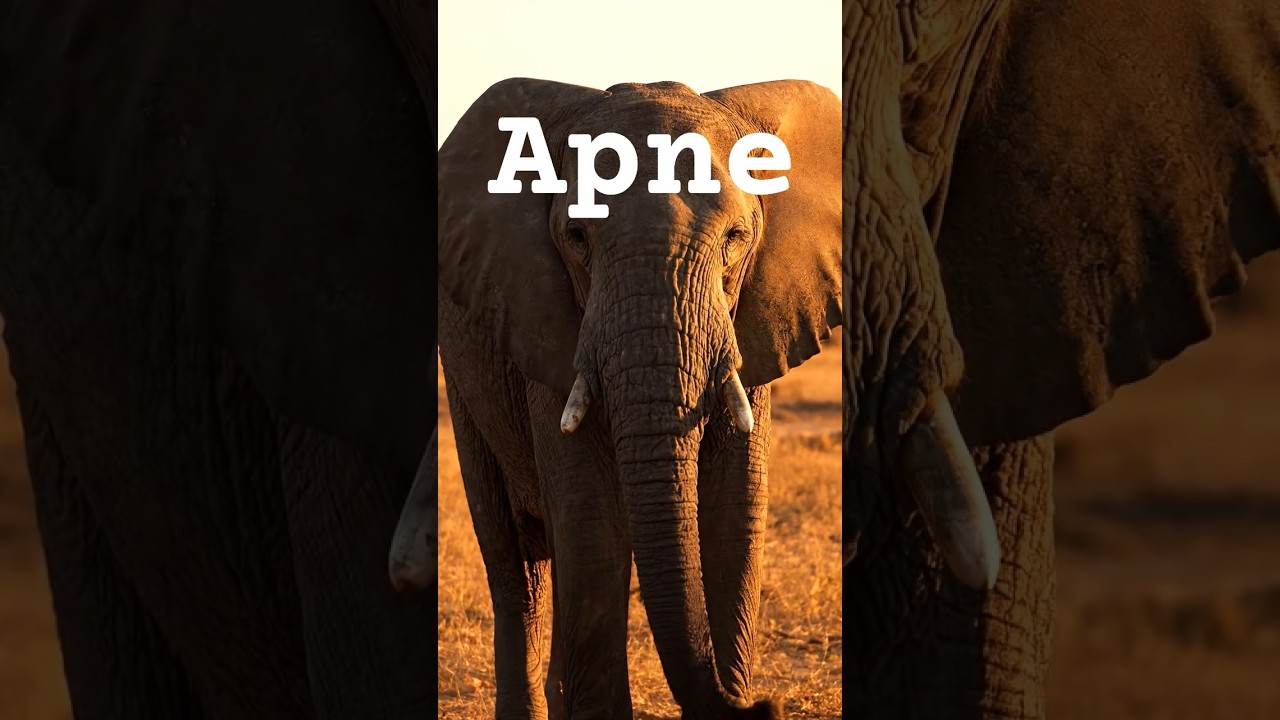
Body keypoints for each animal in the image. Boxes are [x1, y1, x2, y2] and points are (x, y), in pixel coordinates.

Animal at [419, 77, 851, 719]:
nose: (764, 705)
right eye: (576, 238)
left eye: (736, 239)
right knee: (513, 564)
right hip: (464, 378)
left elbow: (733, 515)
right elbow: (592, 517)